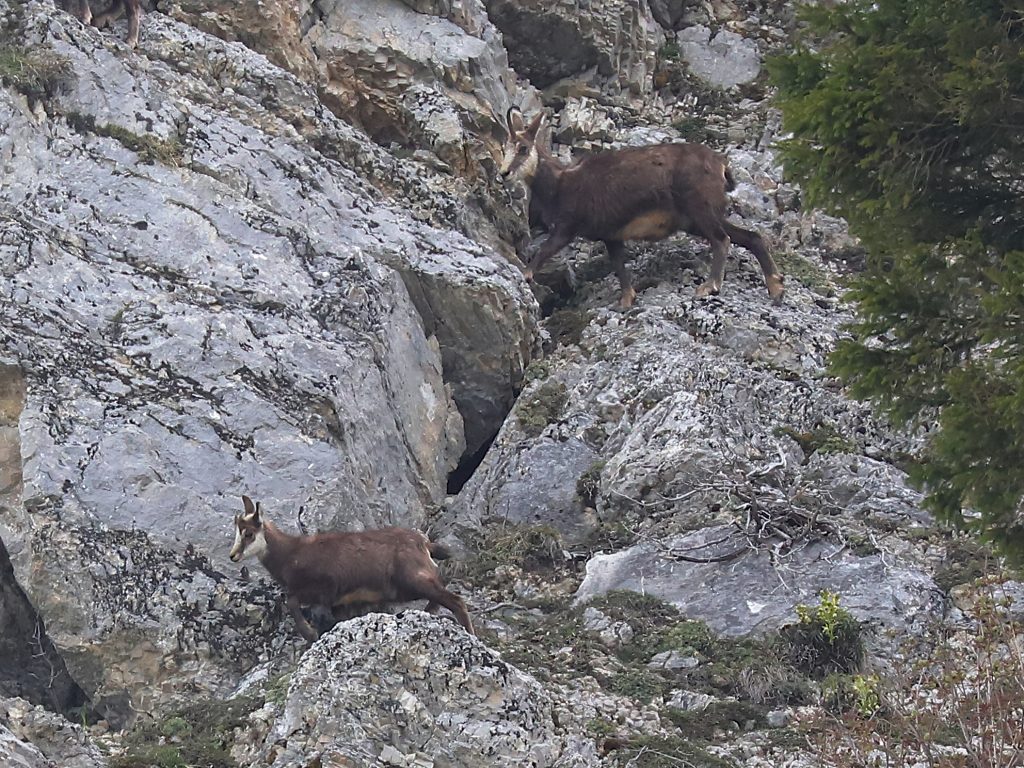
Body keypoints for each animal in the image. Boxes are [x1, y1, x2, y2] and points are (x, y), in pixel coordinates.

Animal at [229, 495, 474, 644]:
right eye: (237, 531)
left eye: (248, 533)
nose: (233, 556)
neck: (291, 554)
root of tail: (424, 543)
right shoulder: (337, 603)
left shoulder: (322, 588)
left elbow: (291, 601)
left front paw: (309, 632)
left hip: (413, 579)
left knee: (455, 601)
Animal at [499, 107, 785, 309]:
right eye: (505, 147)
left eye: (523, 148)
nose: (503, 173)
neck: (560, 184)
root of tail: (720, 165)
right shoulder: (610, 234)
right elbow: (619, 266)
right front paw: (627, 300)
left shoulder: (568, 226)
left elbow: (544, 252)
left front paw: (524, 275)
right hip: (699, 217)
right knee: (751, 236)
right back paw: (776, 288)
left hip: (699, 207)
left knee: (722, 239)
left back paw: (711, 285)